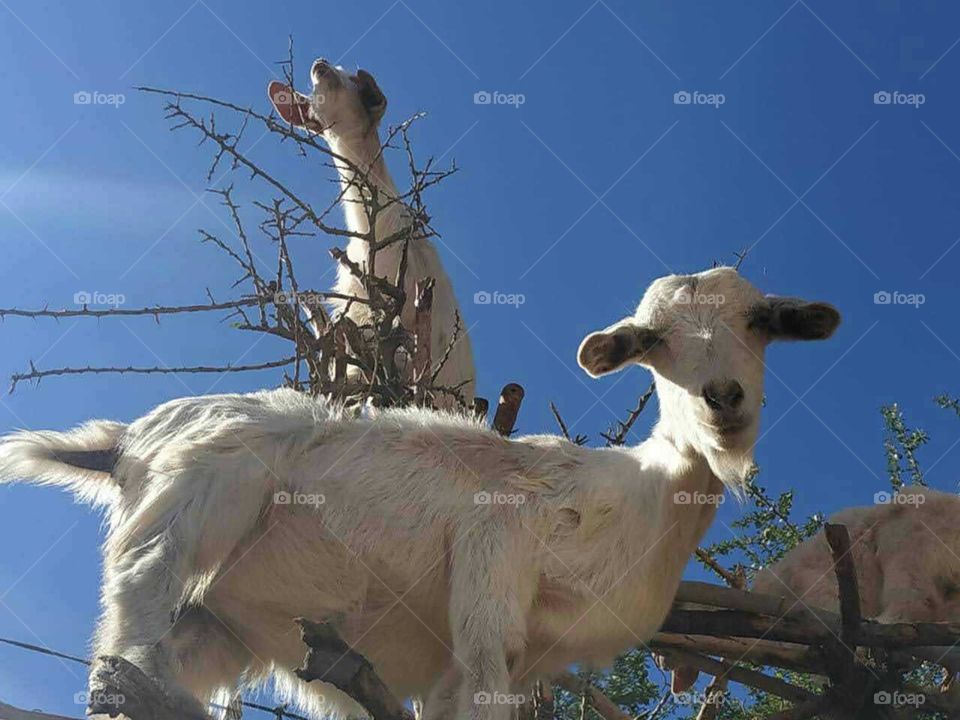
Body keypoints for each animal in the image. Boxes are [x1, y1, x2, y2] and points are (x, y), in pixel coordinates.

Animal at [0, 267, 840, 719]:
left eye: (761, 322)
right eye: (652, 341)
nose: (723, 399)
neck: (640, 495)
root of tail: (124, 441)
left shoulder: (487, 664)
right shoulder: (494, 561)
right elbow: (484, 665)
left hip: (220, 621)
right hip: (203, 486)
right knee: (140, 590)